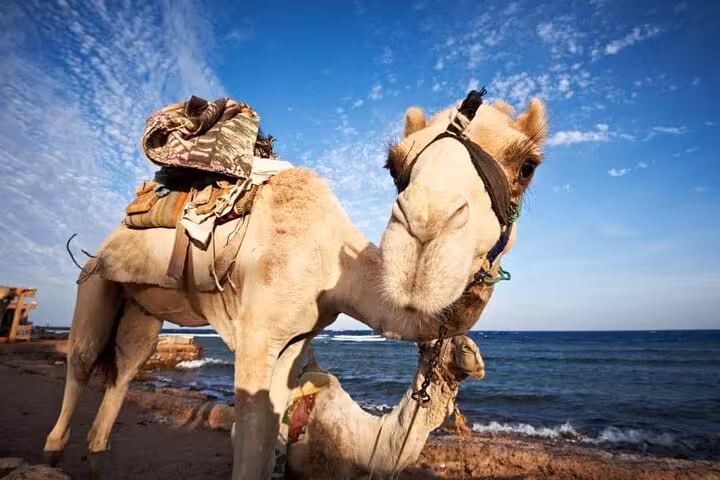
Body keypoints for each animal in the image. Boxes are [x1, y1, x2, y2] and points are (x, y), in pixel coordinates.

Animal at [43, 91, 548, 479]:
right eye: (393, 164)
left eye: (528, 165)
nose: (425, 231)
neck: (334, 268)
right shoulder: (257, 334)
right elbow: (251, 447)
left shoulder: (293, 340)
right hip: (96, 278)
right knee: (81, 360)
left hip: (142, 311)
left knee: (126, 369)